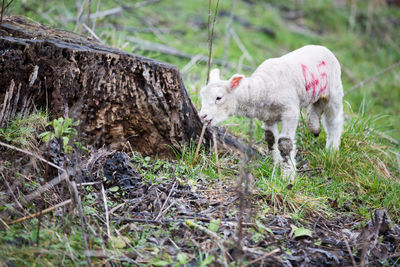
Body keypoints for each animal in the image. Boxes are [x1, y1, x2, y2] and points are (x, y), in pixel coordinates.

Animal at [199, 45, 344, 180]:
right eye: (202, 95)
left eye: (219, 98)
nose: (202, 116)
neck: (262, 88)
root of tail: (323, 47)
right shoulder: (267, 116)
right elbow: (270, 139)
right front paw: (277, 164)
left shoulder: (290, 111)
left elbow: (285, 143)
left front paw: (287, 175)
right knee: (317, 106)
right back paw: (314, 127)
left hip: (334, 90)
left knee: (334, 121)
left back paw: (331, 150)